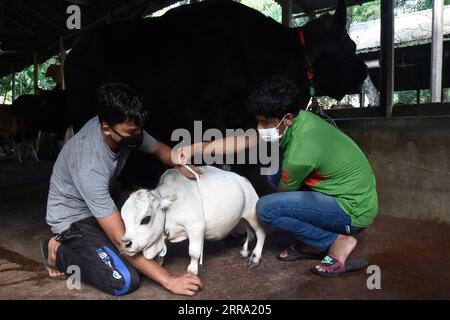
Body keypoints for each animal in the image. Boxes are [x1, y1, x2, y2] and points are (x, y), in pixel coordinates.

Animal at [121, 165, 266, 276]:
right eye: (123, 218)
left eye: (146, 219)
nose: (125, 243)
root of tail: (243, 180)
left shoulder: (196, 226)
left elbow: (194, 252)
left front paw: (192, 271)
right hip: (242, 217)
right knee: (249, 231)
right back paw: (245, 251)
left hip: (252, 213)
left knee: (260, 233)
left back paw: (255, 258)